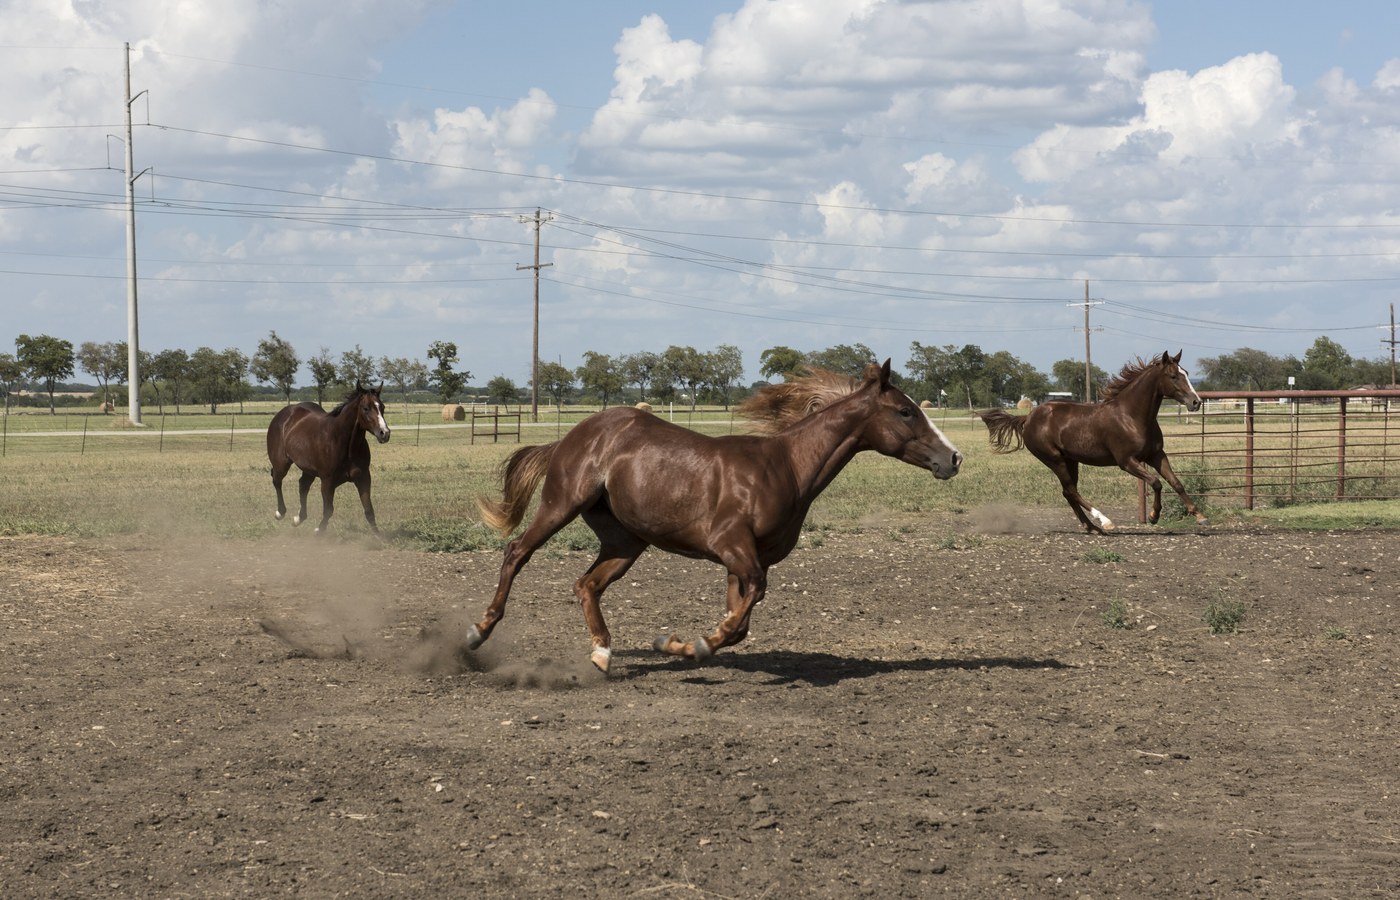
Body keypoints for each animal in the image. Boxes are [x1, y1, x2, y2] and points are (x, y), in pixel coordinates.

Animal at [266, 384, 391, 535]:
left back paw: (298, 519)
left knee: (303, 485)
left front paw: (378, 536)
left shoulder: (363, 478)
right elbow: (328, 510)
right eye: (366, 408)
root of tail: (283, 414)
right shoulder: (327, 481)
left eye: (382, 407)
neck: (343, 443)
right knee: (277, 480)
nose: (384, 433)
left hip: (308, 470)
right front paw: (319, 530)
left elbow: (369, 510)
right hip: (281, 464)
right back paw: (280, 512)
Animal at [468, 359, 962, 672]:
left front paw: (676, 643)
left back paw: (603, 654)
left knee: (586, 584)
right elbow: (748, 604)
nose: (953, 458)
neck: (785, 467)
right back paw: (478, 632)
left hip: (625, 540)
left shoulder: (742, 559)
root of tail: (573, 435)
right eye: (905, 411)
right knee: (516, 552)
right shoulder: (732, 546)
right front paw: (696, 643)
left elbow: (741, 618)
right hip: (561, 504)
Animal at [977, 350, 1209, 535]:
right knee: (1071, 491)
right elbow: (1156, 483)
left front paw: (1200, 516)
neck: (1131, 417)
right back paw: (1105, 522)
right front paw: (1153, 516)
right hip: (1055, 460)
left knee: (1068, 492)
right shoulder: (1127, 462)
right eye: (1173, 376)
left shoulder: (1156, 455)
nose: (1196, 402)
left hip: (1071, 461)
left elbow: (1176, 483)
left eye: (1187, 374)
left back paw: (1091, 527)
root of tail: (1028, 417)